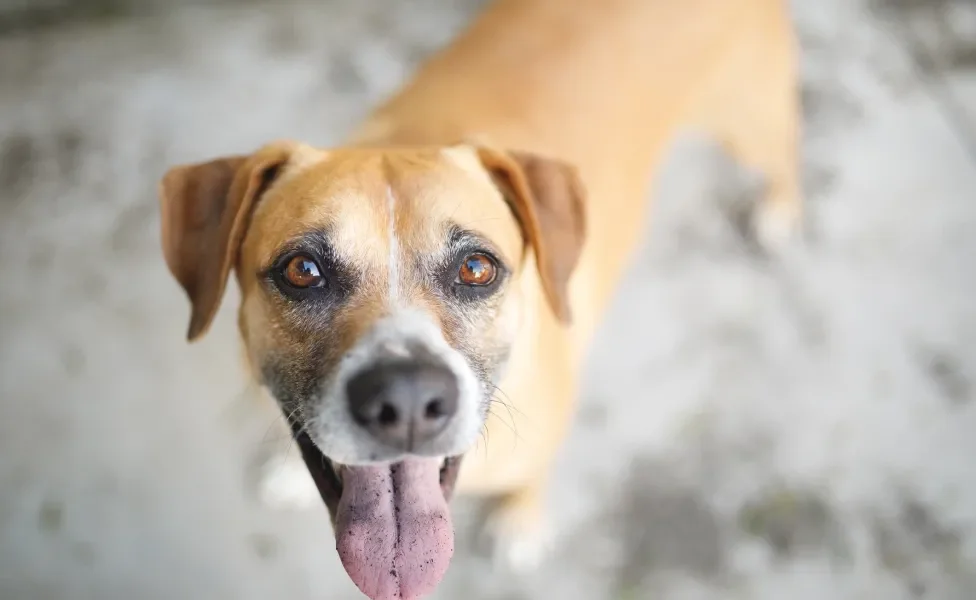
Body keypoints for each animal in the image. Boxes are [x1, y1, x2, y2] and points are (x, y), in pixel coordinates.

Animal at [156, 1, 796, 600]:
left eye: (476, 268)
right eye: (303, 270)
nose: (406, 401)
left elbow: (534, 476)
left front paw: (520, 523)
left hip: (753, 123)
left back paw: (779, 213)